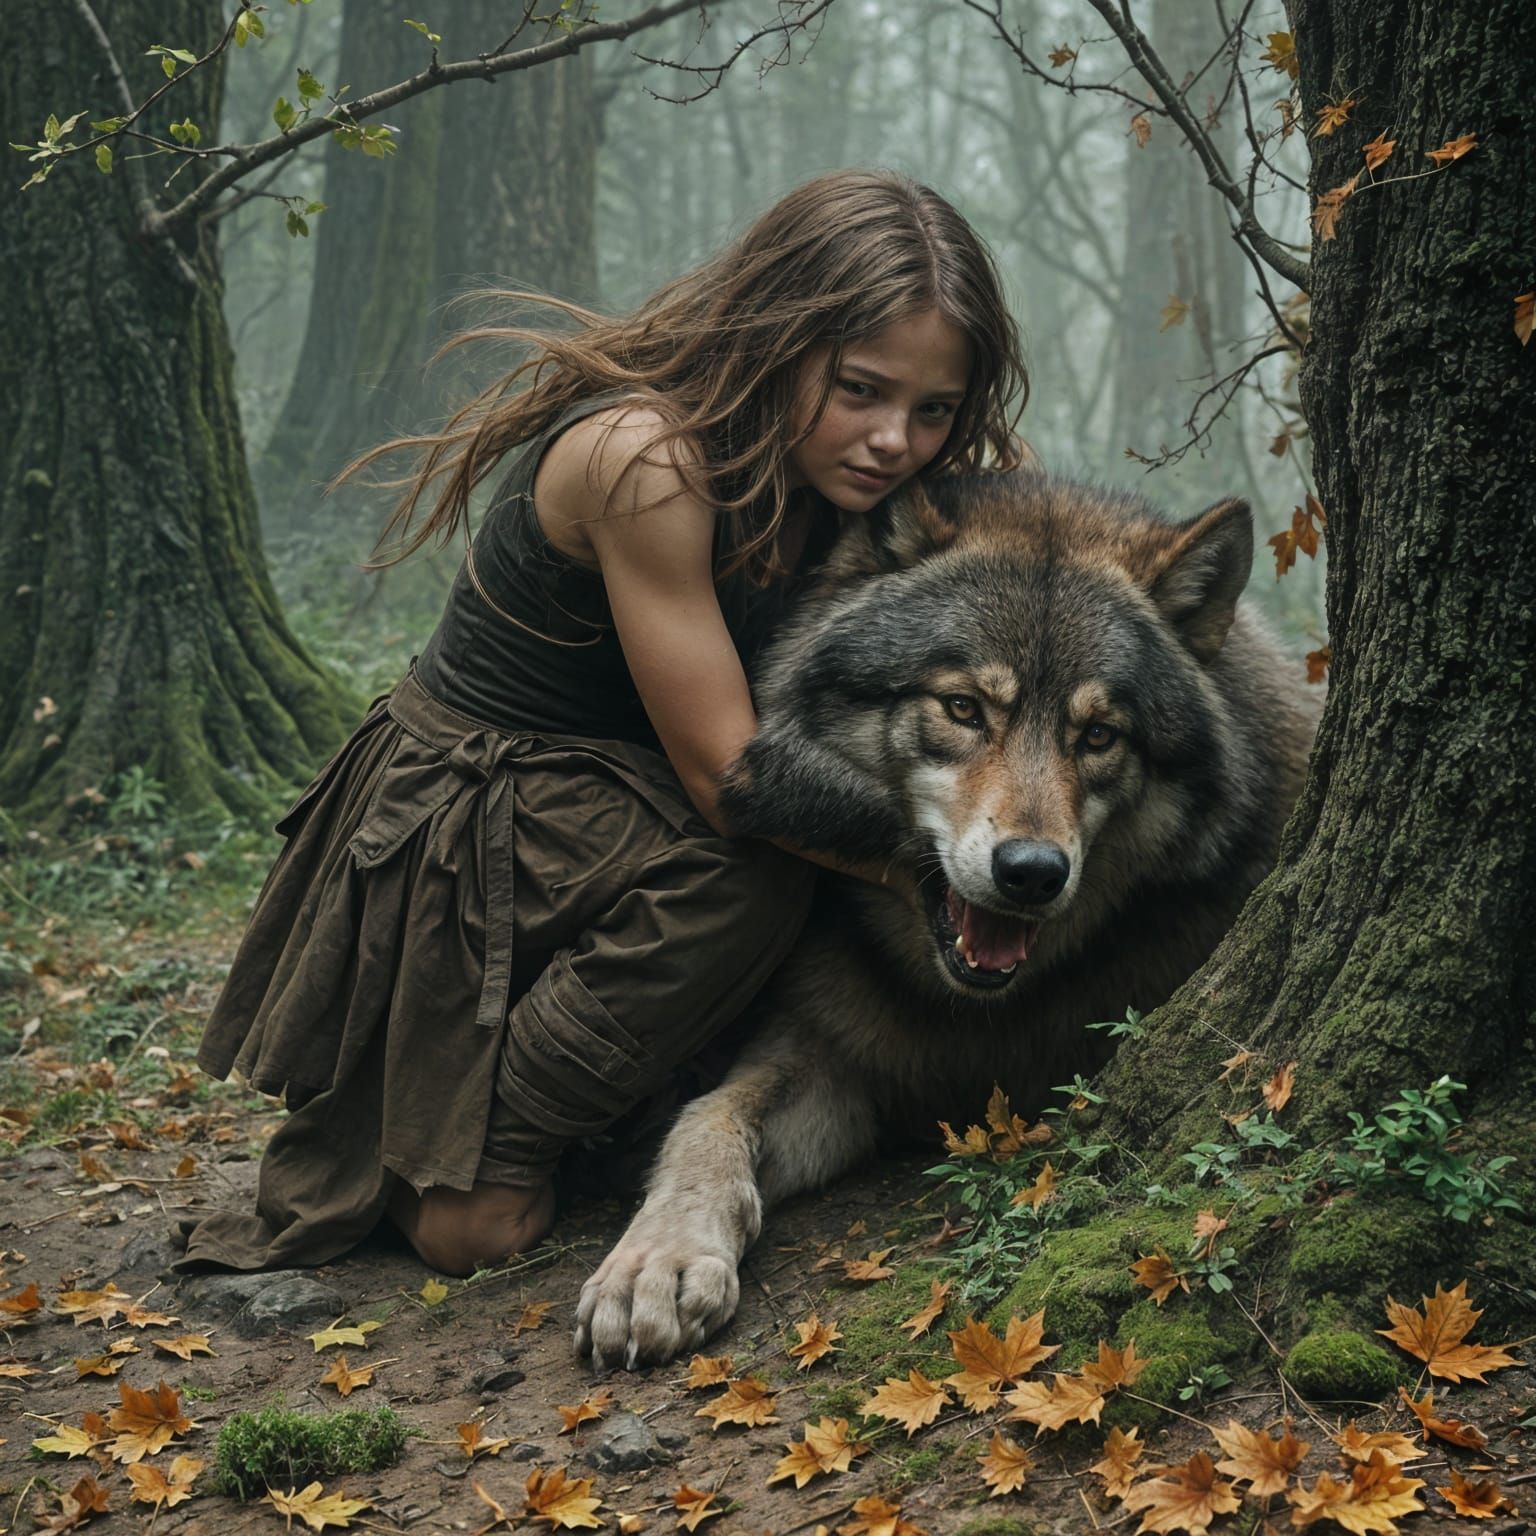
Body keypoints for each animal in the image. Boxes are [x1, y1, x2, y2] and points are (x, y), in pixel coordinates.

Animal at [573, 469, 1318, 1370]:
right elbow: (707, 1116)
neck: (975, 1020)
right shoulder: (831, 1054)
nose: (1031, 873)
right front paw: (658, 1259)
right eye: (963, 709)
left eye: (1099, 735)